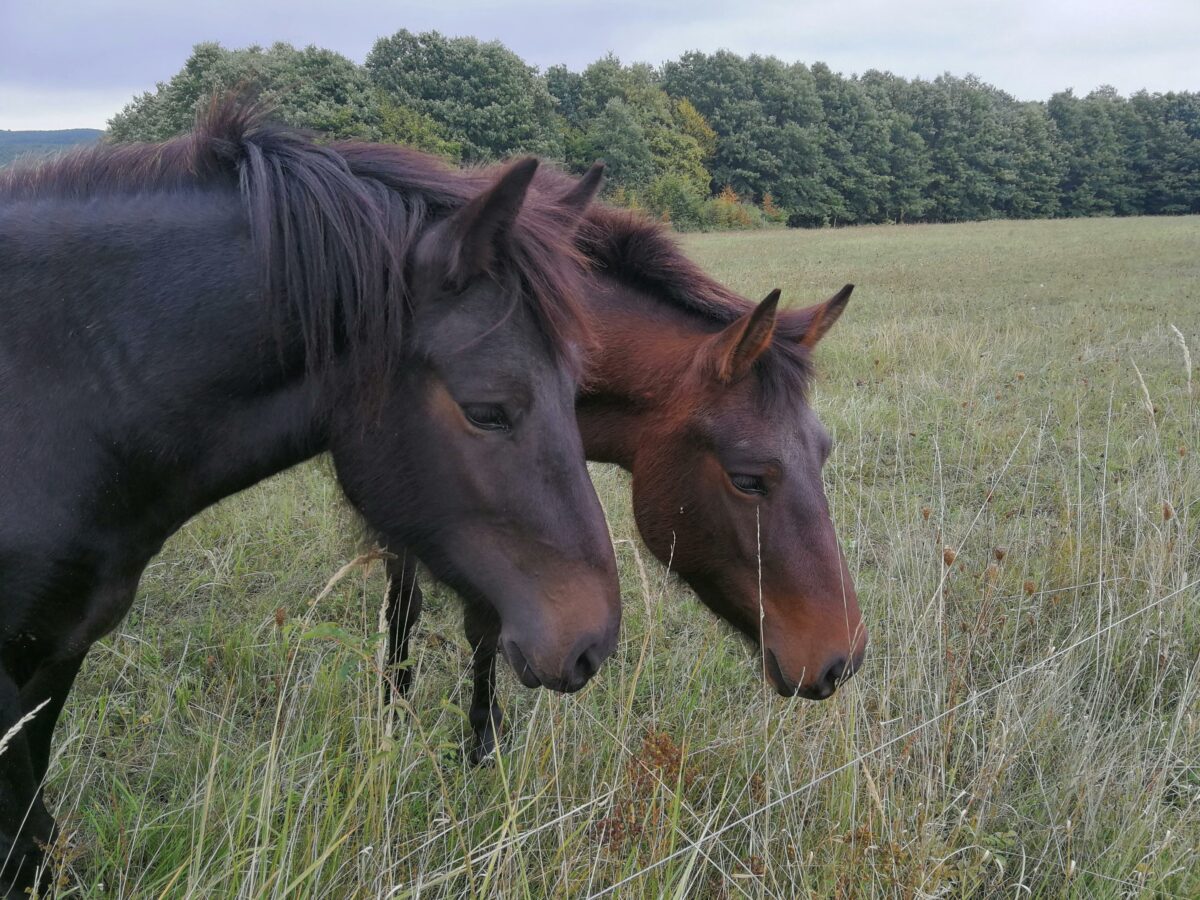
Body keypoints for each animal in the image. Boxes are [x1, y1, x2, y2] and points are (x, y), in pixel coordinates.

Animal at [375, 168, 868, 761]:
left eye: (824, 450)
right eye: (748, 479)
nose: (843, 661)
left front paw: (481, 735)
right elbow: (407, 605)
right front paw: (396, 709)